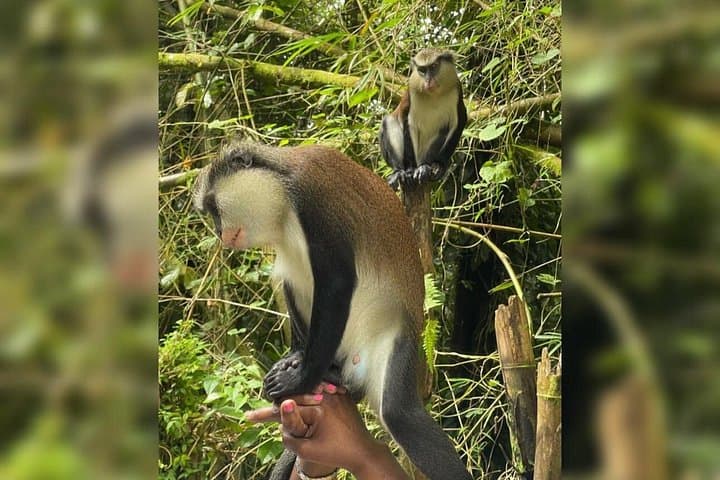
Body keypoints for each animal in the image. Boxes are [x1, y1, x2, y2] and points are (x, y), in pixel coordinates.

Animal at [193, 141, 471, 480]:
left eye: (213, 207)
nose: (219, 231)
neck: (283, 198)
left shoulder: (313, 199)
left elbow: (338, 281)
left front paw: (301, 379)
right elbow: (288, 279)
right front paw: (296, 359)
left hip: (393, 344)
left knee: (400, 415)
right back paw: (328, 371)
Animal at [380, 48, 467, 190]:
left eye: (434, 66)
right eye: (422, 70)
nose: (428, 81)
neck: (434, 95)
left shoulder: (457, 90)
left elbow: (457, 123)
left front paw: (440, 165)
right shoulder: (411, 91)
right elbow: (408, 123)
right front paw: (410, 171)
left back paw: (426, 166)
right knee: (388, 121)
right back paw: (400, 172)